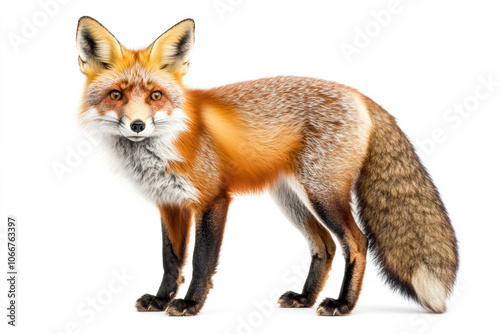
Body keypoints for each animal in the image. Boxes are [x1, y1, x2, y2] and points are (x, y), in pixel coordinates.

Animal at [75, 17, 458, 318]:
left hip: (323, 195)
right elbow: (171, 260)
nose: (138, 125)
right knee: (325, 246)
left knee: (356, 242)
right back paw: (305, 298)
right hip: (291, 199)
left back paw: (343, 304)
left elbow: (200, 260)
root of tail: (358, 95)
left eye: (155, 96)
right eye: (116, 95)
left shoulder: (213, 199)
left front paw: (190, 304)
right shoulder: (170, 204)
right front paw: (160, 299)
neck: (164, 146)